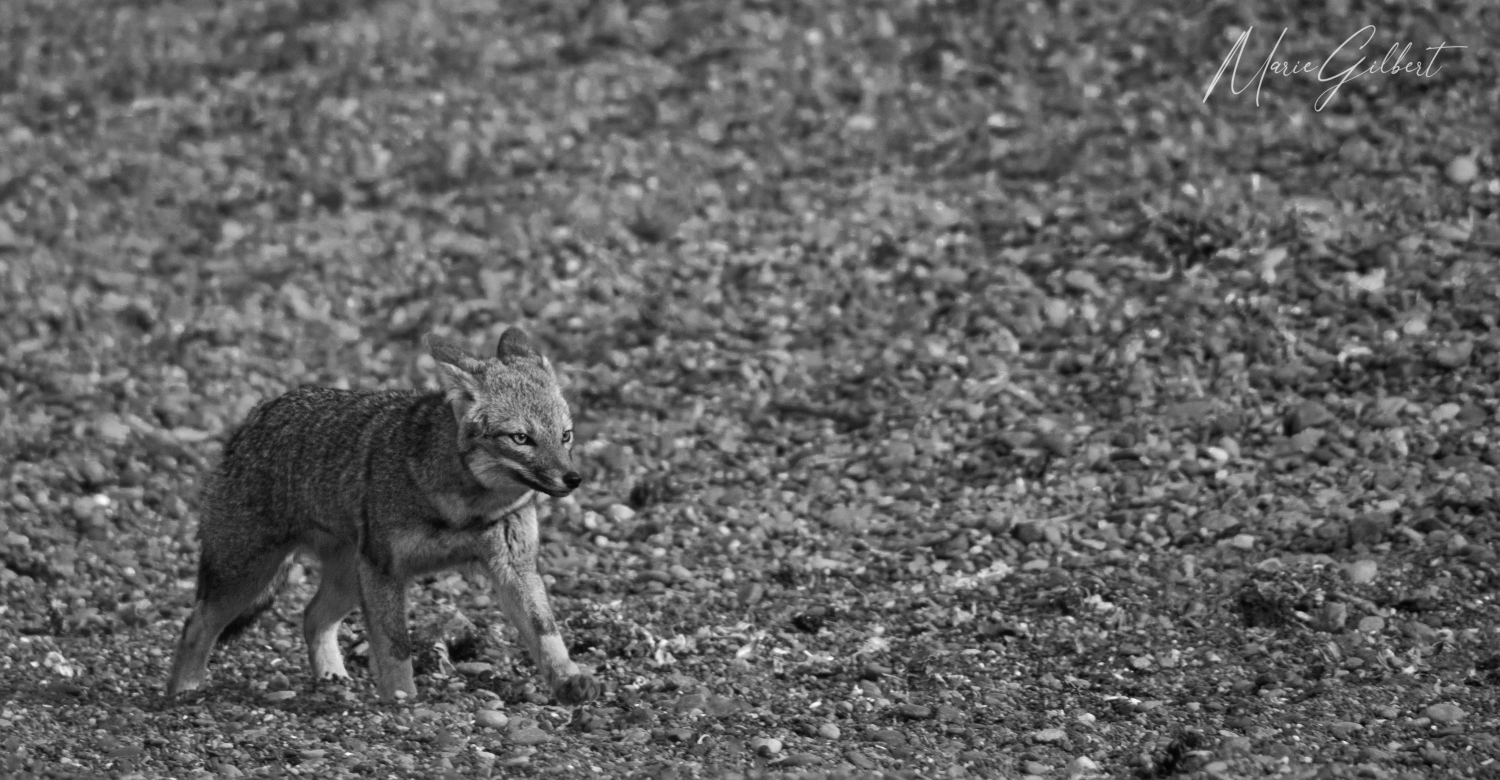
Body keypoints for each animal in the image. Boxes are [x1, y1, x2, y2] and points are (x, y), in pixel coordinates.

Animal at [167, 325, 600, 705]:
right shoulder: (385, 569)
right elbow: (395, 645)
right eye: (521, 438)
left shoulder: (514, 568)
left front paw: (568, 680)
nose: (573, 479)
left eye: (565, 436)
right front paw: (402, 699)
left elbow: (545, 632)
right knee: (196, 625)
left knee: (311, 617)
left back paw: (331, 678)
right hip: (248, 578)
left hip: (346, 581)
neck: (466, 509)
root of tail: (257, 412)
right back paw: (184, 692)